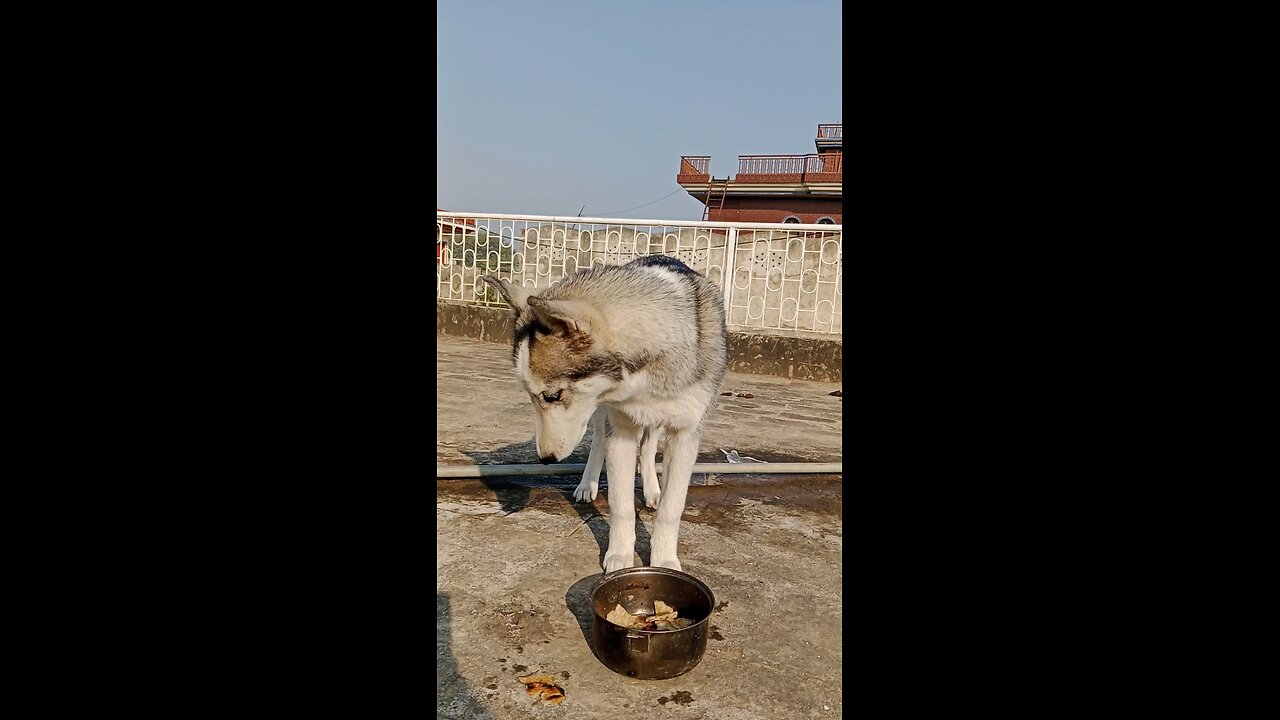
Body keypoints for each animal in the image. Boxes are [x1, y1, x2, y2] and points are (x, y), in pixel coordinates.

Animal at [481, 254, 727, 568]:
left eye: (552, 396)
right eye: (533, 397)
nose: (546, 459)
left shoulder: (685, 433)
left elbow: (671, 509)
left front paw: (663, 560)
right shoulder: (619, 428)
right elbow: (620, 504)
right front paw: (620, 556)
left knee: (649, 446)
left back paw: (652, 489)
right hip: (600, 412)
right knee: (599, 439)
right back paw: (587, 484)